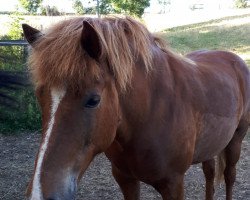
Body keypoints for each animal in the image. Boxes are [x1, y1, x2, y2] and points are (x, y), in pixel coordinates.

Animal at [22, 16, 249, 199]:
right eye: (40, 96)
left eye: (93, 100)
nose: (39, 193)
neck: (151, 111)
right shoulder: (125, 179)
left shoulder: (173, 184)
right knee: (210, 174)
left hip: (235, 140)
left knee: (229, 176)